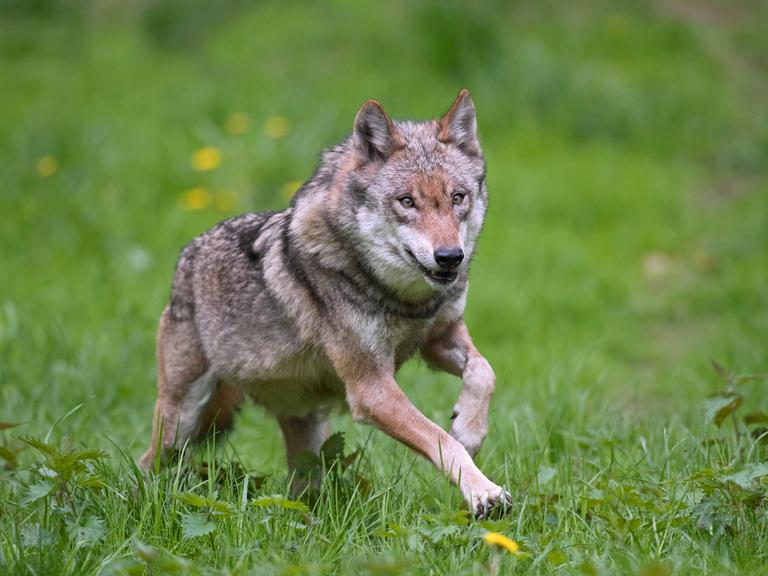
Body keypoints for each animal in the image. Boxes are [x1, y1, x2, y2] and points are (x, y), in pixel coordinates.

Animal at [140, 90, 510, 516]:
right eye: (406, 202)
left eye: (457, 198)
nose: (450, 257)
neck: (400, 299)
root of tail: (186, 257)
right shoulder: (371, 388)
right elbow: (440, 439)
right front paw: (484, 491)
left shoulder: (439, 338)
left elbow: (484, 372)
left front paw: (469, 428)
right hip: (182, 420)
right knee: (149, 463)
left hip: (308, 435)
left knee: (301, 491)